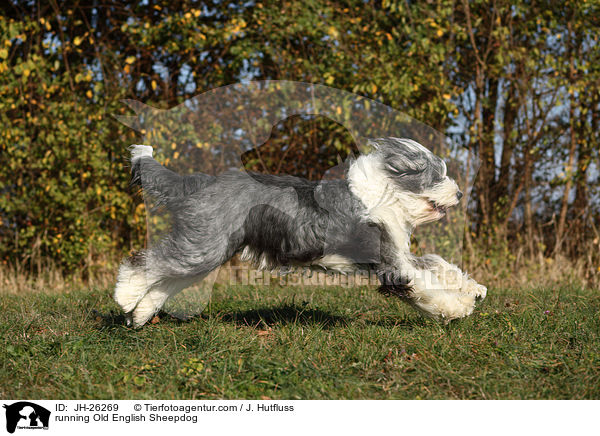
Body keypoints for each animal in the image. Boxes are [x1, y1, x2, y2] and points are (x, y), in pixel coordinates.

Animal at [113, 138, 488, 326]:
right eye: (437, 176)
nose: (459, 194)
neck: (386, 194)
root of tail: (200, 183)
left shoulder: (400, 253)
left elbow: (437, 264)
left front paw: (475, 289)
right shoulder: (391, 265)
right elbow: (426, 287)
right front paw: (458, 308)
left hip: (207, 249)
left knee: (165, 281)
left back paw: (140, 315)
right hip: (202, 247)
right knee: (143, 263)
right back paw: (124, 298)